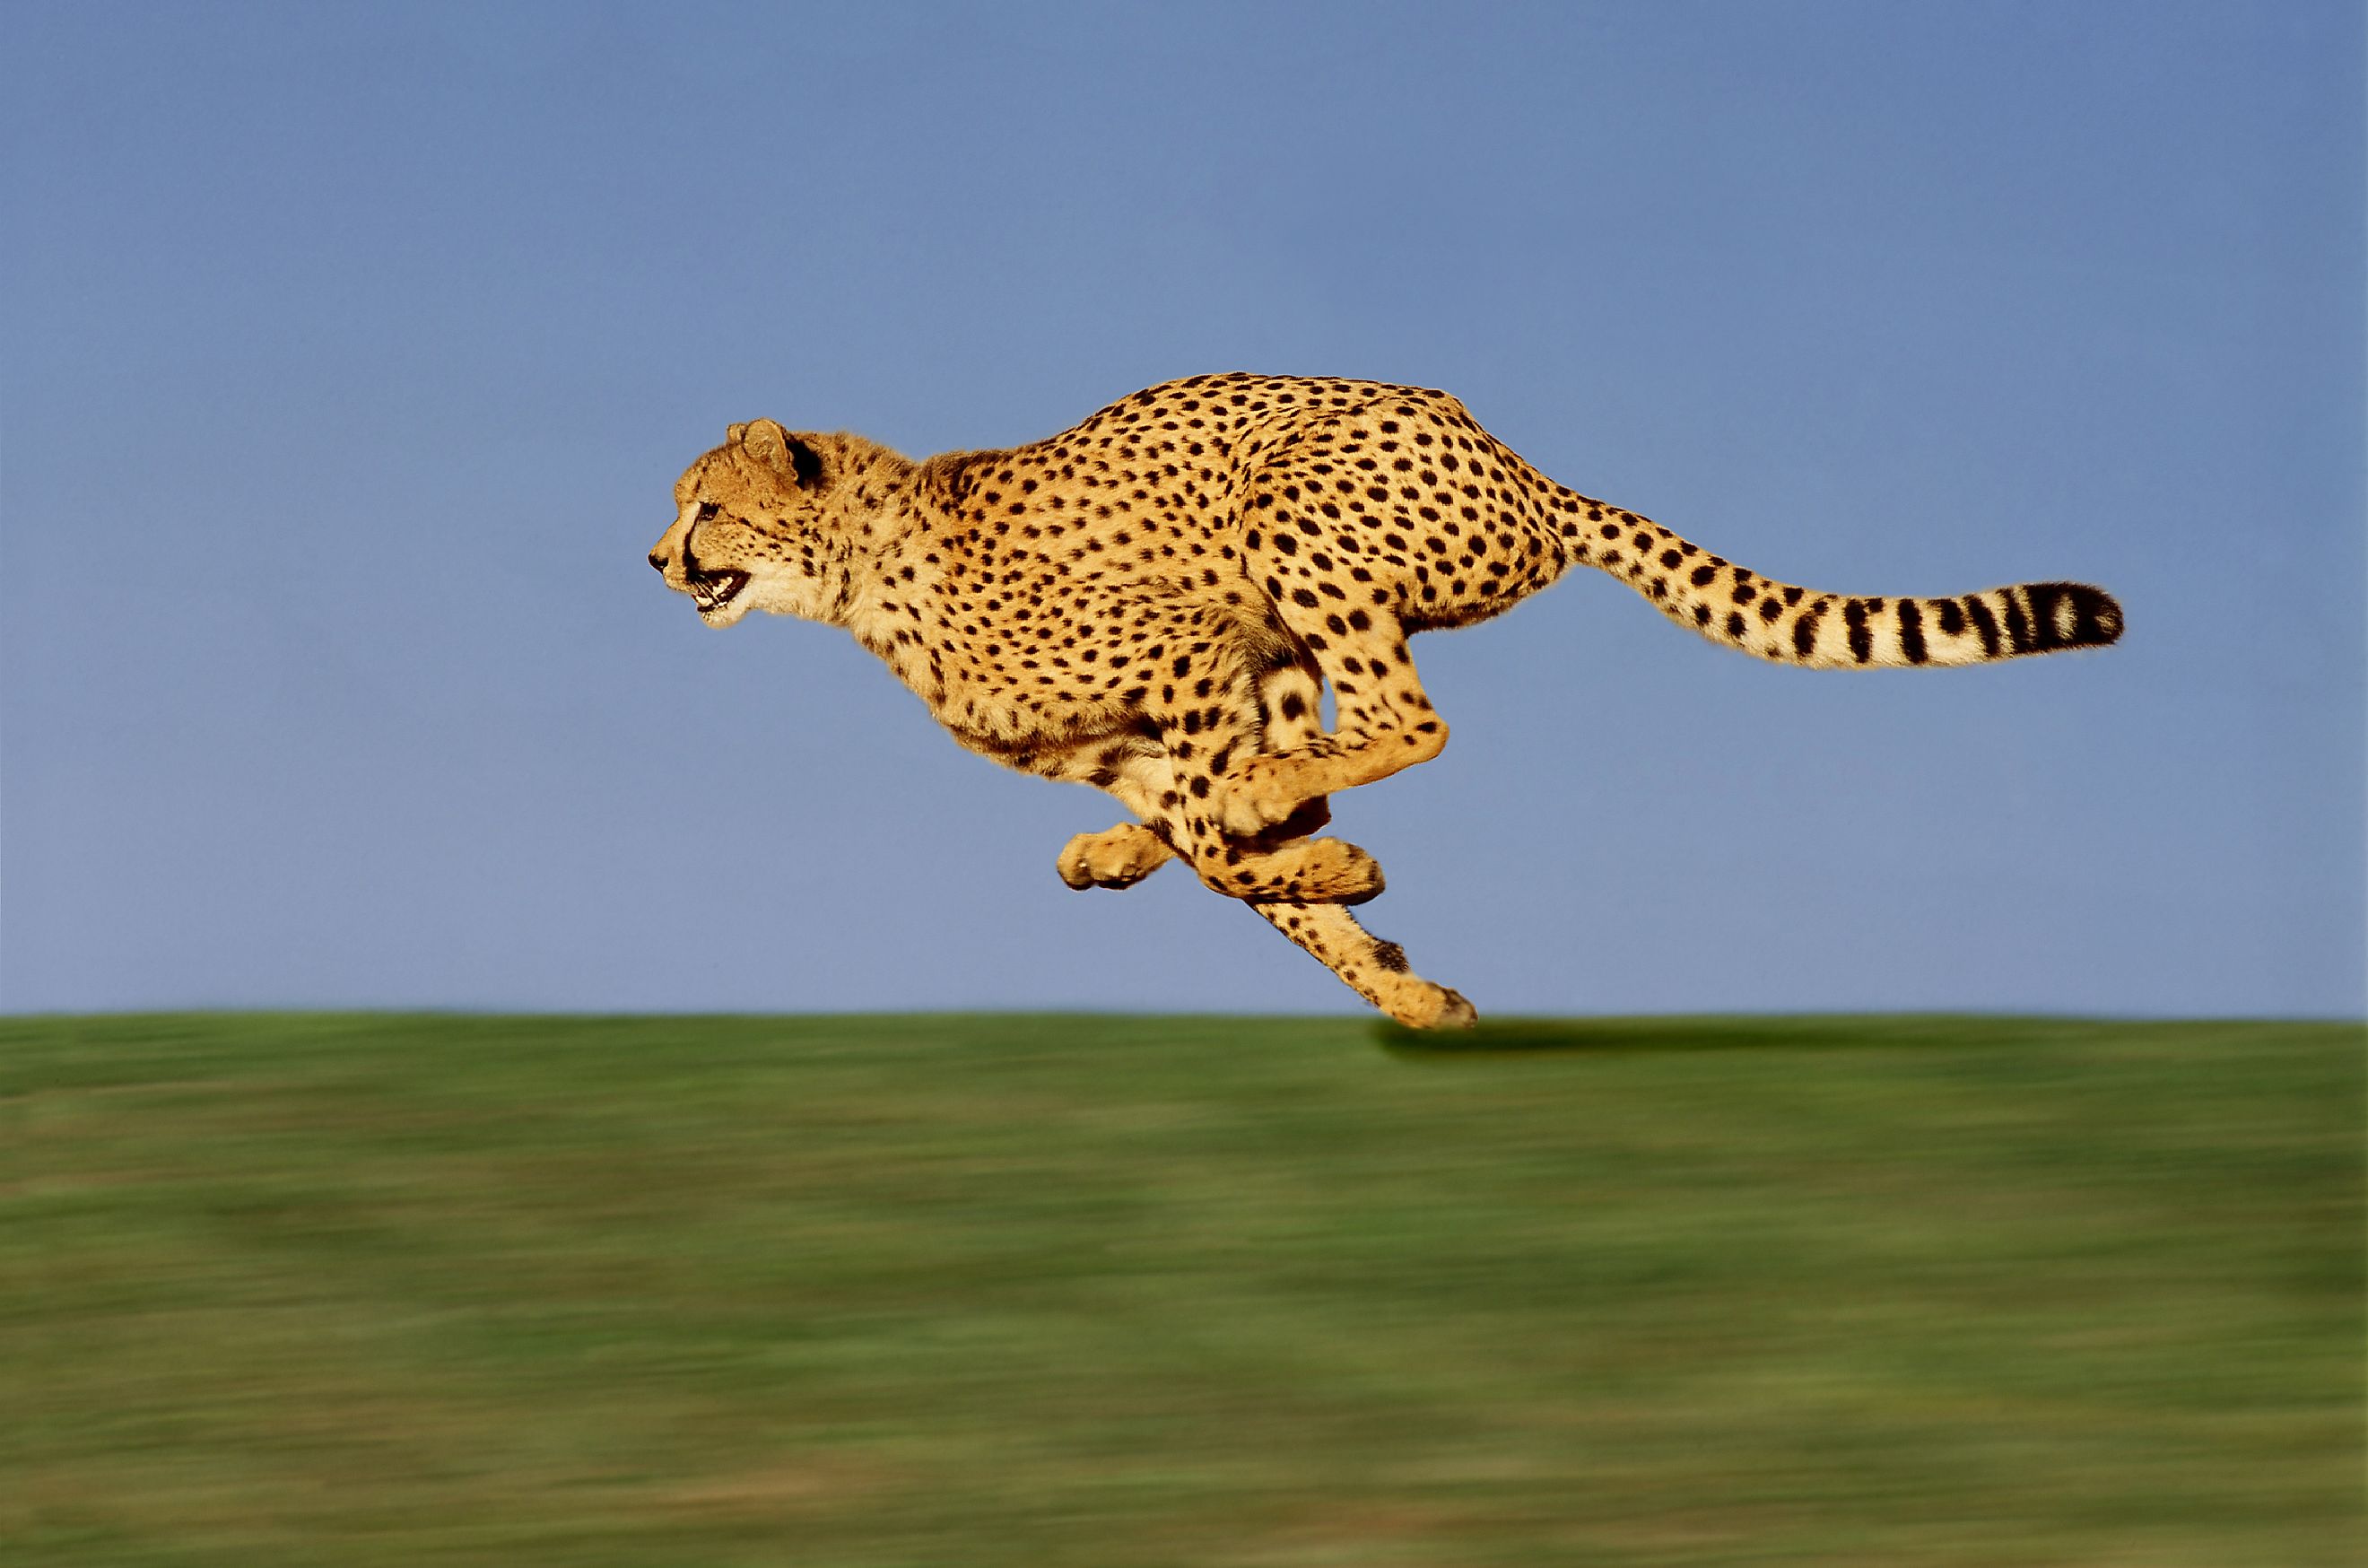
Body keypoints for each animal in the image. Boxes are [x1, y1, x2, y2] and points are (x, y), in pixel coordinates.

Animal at [649, 379, 2131, 1032]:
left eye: (705, 506)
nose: (655, 559)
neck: (863, 570)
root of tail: (1525, 467)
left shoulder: (1190, 652)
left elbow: (1234, 841)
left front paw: (1350, 890)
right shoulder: (1155, 726)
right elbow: (1234, 864)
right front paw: (1404, 984)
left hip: (1288, 520)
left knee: (1406, 723)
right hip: (1291, 621)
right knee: (1322, 745)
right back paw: (1135, 852)